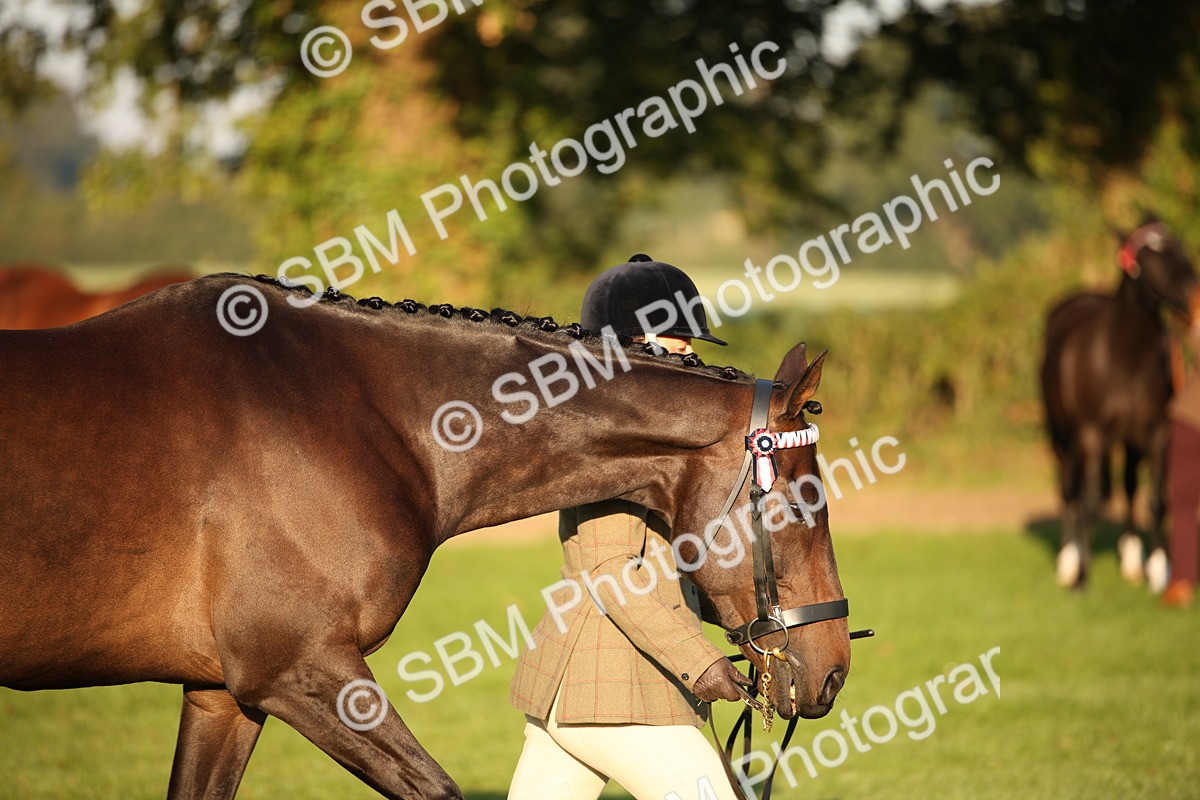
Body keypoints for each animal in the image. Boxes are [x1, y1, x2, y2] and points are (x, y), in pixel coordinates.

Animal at [1040, 219, 1197, 591]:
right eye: (1151, 254)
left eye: (1181, 245)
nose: (1192, 294)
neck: (1124, 357)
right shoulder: (1091, 434)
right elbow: (1090, 502)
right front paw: (1081, 577)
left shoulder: (1156, 433)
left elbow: (1156, 502)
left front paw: (1160, 571)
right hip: (1061, 438)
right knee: (1070, 491)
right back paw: (1068, 561)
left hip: (1130, 441)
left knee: (1127, 487)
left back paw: (1132, 560)